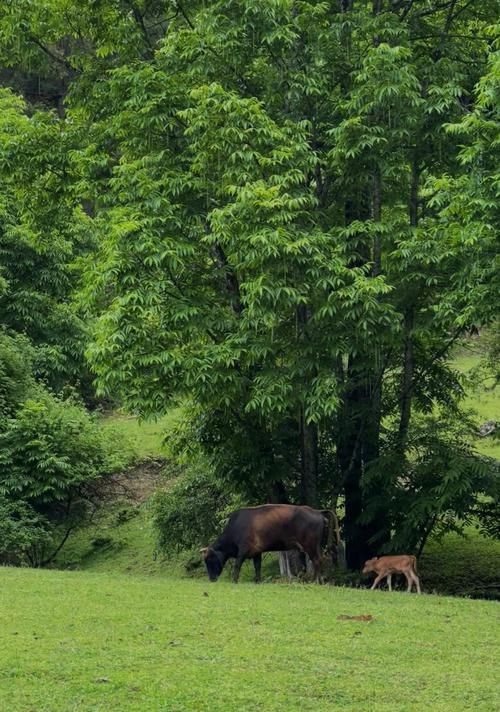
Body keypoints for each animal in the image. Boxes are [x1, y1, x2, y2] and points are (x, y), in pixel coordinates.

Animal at [200, 504, 340, 580]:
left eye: (210, 559)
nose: (211, 578)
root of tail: (316, 511)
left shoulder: (243, 551)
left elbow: (236, 566)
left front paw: (234, 580)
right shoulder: (256, 552)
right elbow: (257, 567)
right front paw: (257, 581)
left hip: (310, 545)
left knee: (316, 560)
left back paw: (314, 580)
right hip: (317, 546)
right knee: (320, 560)